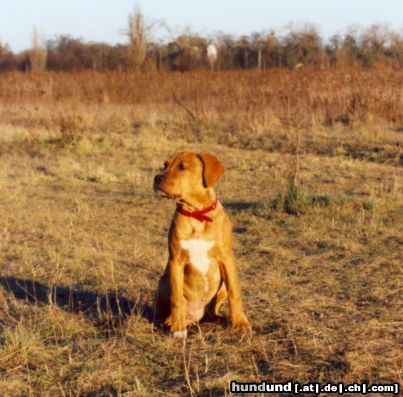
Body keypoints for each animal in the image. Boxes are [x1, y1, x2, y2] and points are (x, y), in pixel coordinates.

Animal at [153, 152, 251, 338]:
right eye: (164, 165)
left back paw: (221, 318)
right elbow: (176, 299)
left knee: (213, 311)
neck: (197, 214)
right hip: (163, 283)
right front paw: (178, 329)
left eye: (182, 166)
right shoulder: (175, 261)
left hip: (221, 288)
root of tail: (197, 316)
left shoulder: (227, 258)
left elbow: (235, 293)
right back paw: (173, 322)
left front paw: (241, 324)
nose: (156, 178)